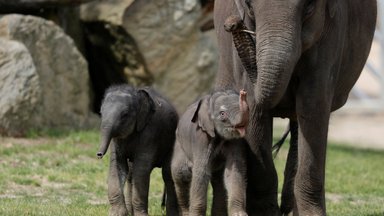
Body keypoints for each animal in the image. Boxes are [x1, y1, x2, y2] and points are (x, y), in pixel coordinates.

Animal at [97, 84, 179, 216]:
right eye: (100, 112)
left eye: (125, 114)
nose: (99, 154)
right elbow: (118, 166)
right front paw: (118, 214)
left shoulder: (150, 131)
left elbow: (141, 170)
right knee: (131, 174)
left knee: (167, 174)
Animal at [214, 0, 376, 216]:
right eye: (248, 6)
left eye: (309, 7)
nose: (232, 25)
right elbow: (254, 108)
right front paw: (266, 213)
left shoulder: (332, 33)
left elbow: (313, 103)